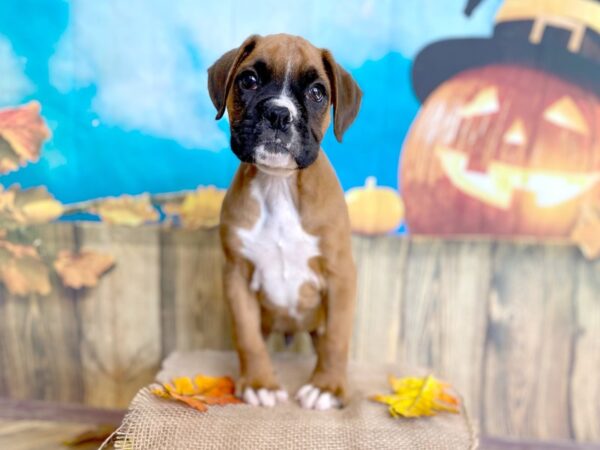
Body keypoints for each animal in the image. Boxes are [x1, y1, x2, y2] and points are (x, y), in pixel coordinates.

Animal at [209, 32, 360, 412]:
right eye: (248, 80)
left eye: (318, 92)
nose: (278, 113)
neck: (278, 185)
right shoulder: (236, 276)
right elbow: (246, 336)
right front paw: (259, 383)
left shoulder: (340, 275)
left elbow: (337, 337)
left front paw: (327, 387)